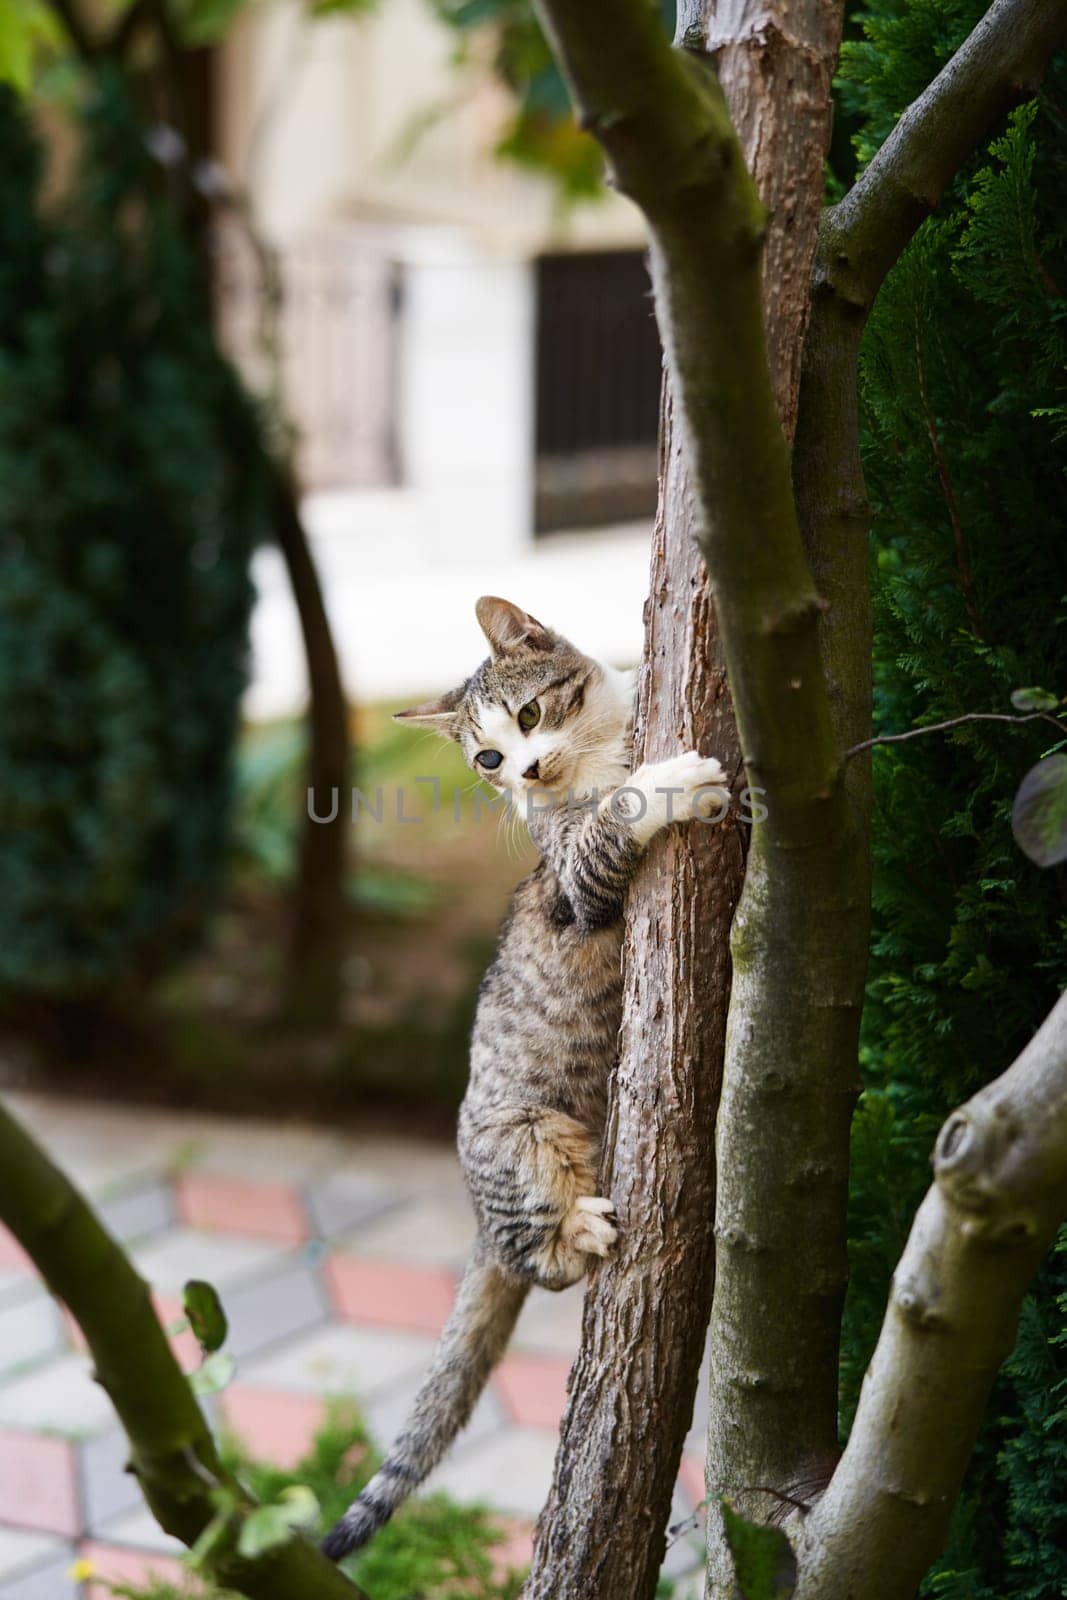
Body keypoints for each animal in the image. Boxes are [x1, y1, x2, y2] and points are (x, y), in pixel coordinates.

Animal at [323, 595, 726, 1555]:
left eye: (531, 714)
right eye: (487, 759)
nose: (529, 770)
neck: (596, 751)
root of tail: (476, 1216)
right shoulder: (576, 876)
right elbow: (615, 813)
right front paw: (669, 783)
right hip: (527, 1138)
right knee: (540, 1260)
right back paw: (577, 1228)